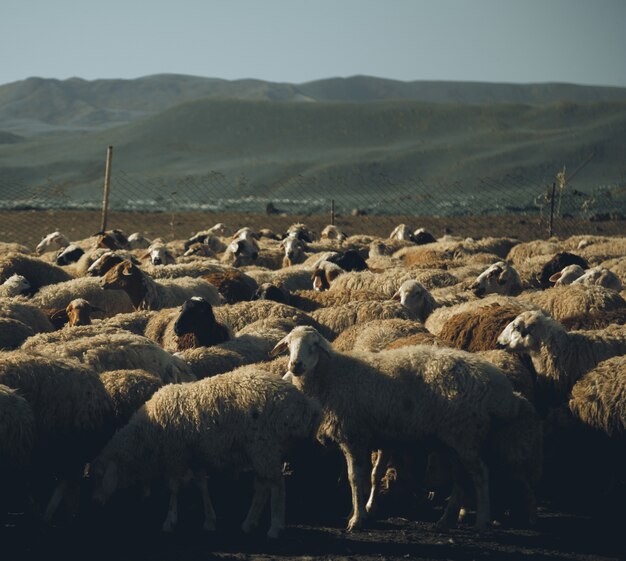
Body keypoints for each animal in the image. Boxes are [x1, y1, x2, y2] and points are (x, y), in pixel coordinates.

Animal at [90, 368, 320, 540]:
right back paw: (249, 523)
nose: (96, 501)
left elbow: (173, 489)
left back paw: (274, 527)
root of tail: (304, 405)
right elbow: (202, 485)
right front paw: (209, 520)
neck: (149, 433)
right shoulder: (195, 454)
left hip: (265, 446)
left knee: (277, 486)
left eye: (100, 476)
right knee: (263, 486)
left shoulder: (176, 455)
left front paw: (169, 521)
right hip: (260, 450)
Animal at [270, 324, 520, 528]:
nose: (295, 365)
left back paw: (482, 521)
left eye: (313, 345)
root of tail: (497, 384)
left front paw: (356, 519)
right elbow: (369, 475)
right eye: (288, 345)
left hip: (465, 434)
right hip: (455, 438)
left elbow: (354, 478)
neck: (332, 376)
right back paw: (445, 520)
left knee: (480, 474)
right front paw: (360, 511)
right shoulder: (372, 436)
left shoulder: (353, 435)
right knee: (460, 479)